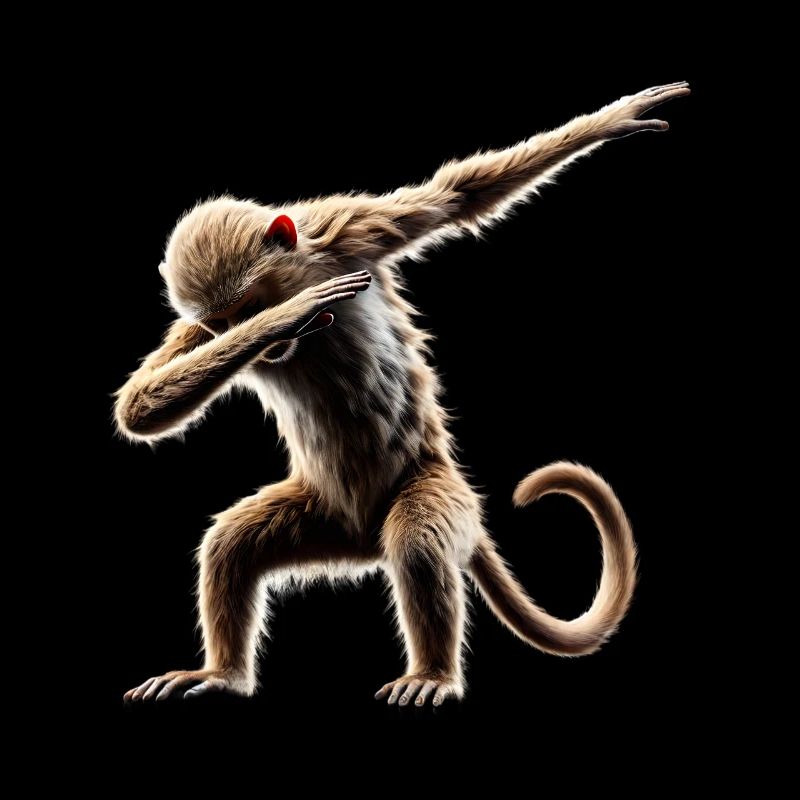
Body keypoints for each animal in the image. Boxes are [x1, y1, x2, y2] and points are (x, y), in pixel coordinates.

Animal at [118, 82, 689, 707]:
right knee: (231, 546)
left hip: (435, 487)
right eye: (222, 324)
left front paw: (616, 119)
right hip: (325, 516)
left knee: (416, 542)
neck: (305, 267)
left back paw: (431, 673)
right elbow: (140, 406)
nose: (252, 337)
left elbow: (458, 195)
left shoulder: (351, 230)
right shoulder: (204, 326)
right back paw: (222, 673)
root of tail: (363, 537)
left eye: (247, 307)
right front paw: (291, 318)